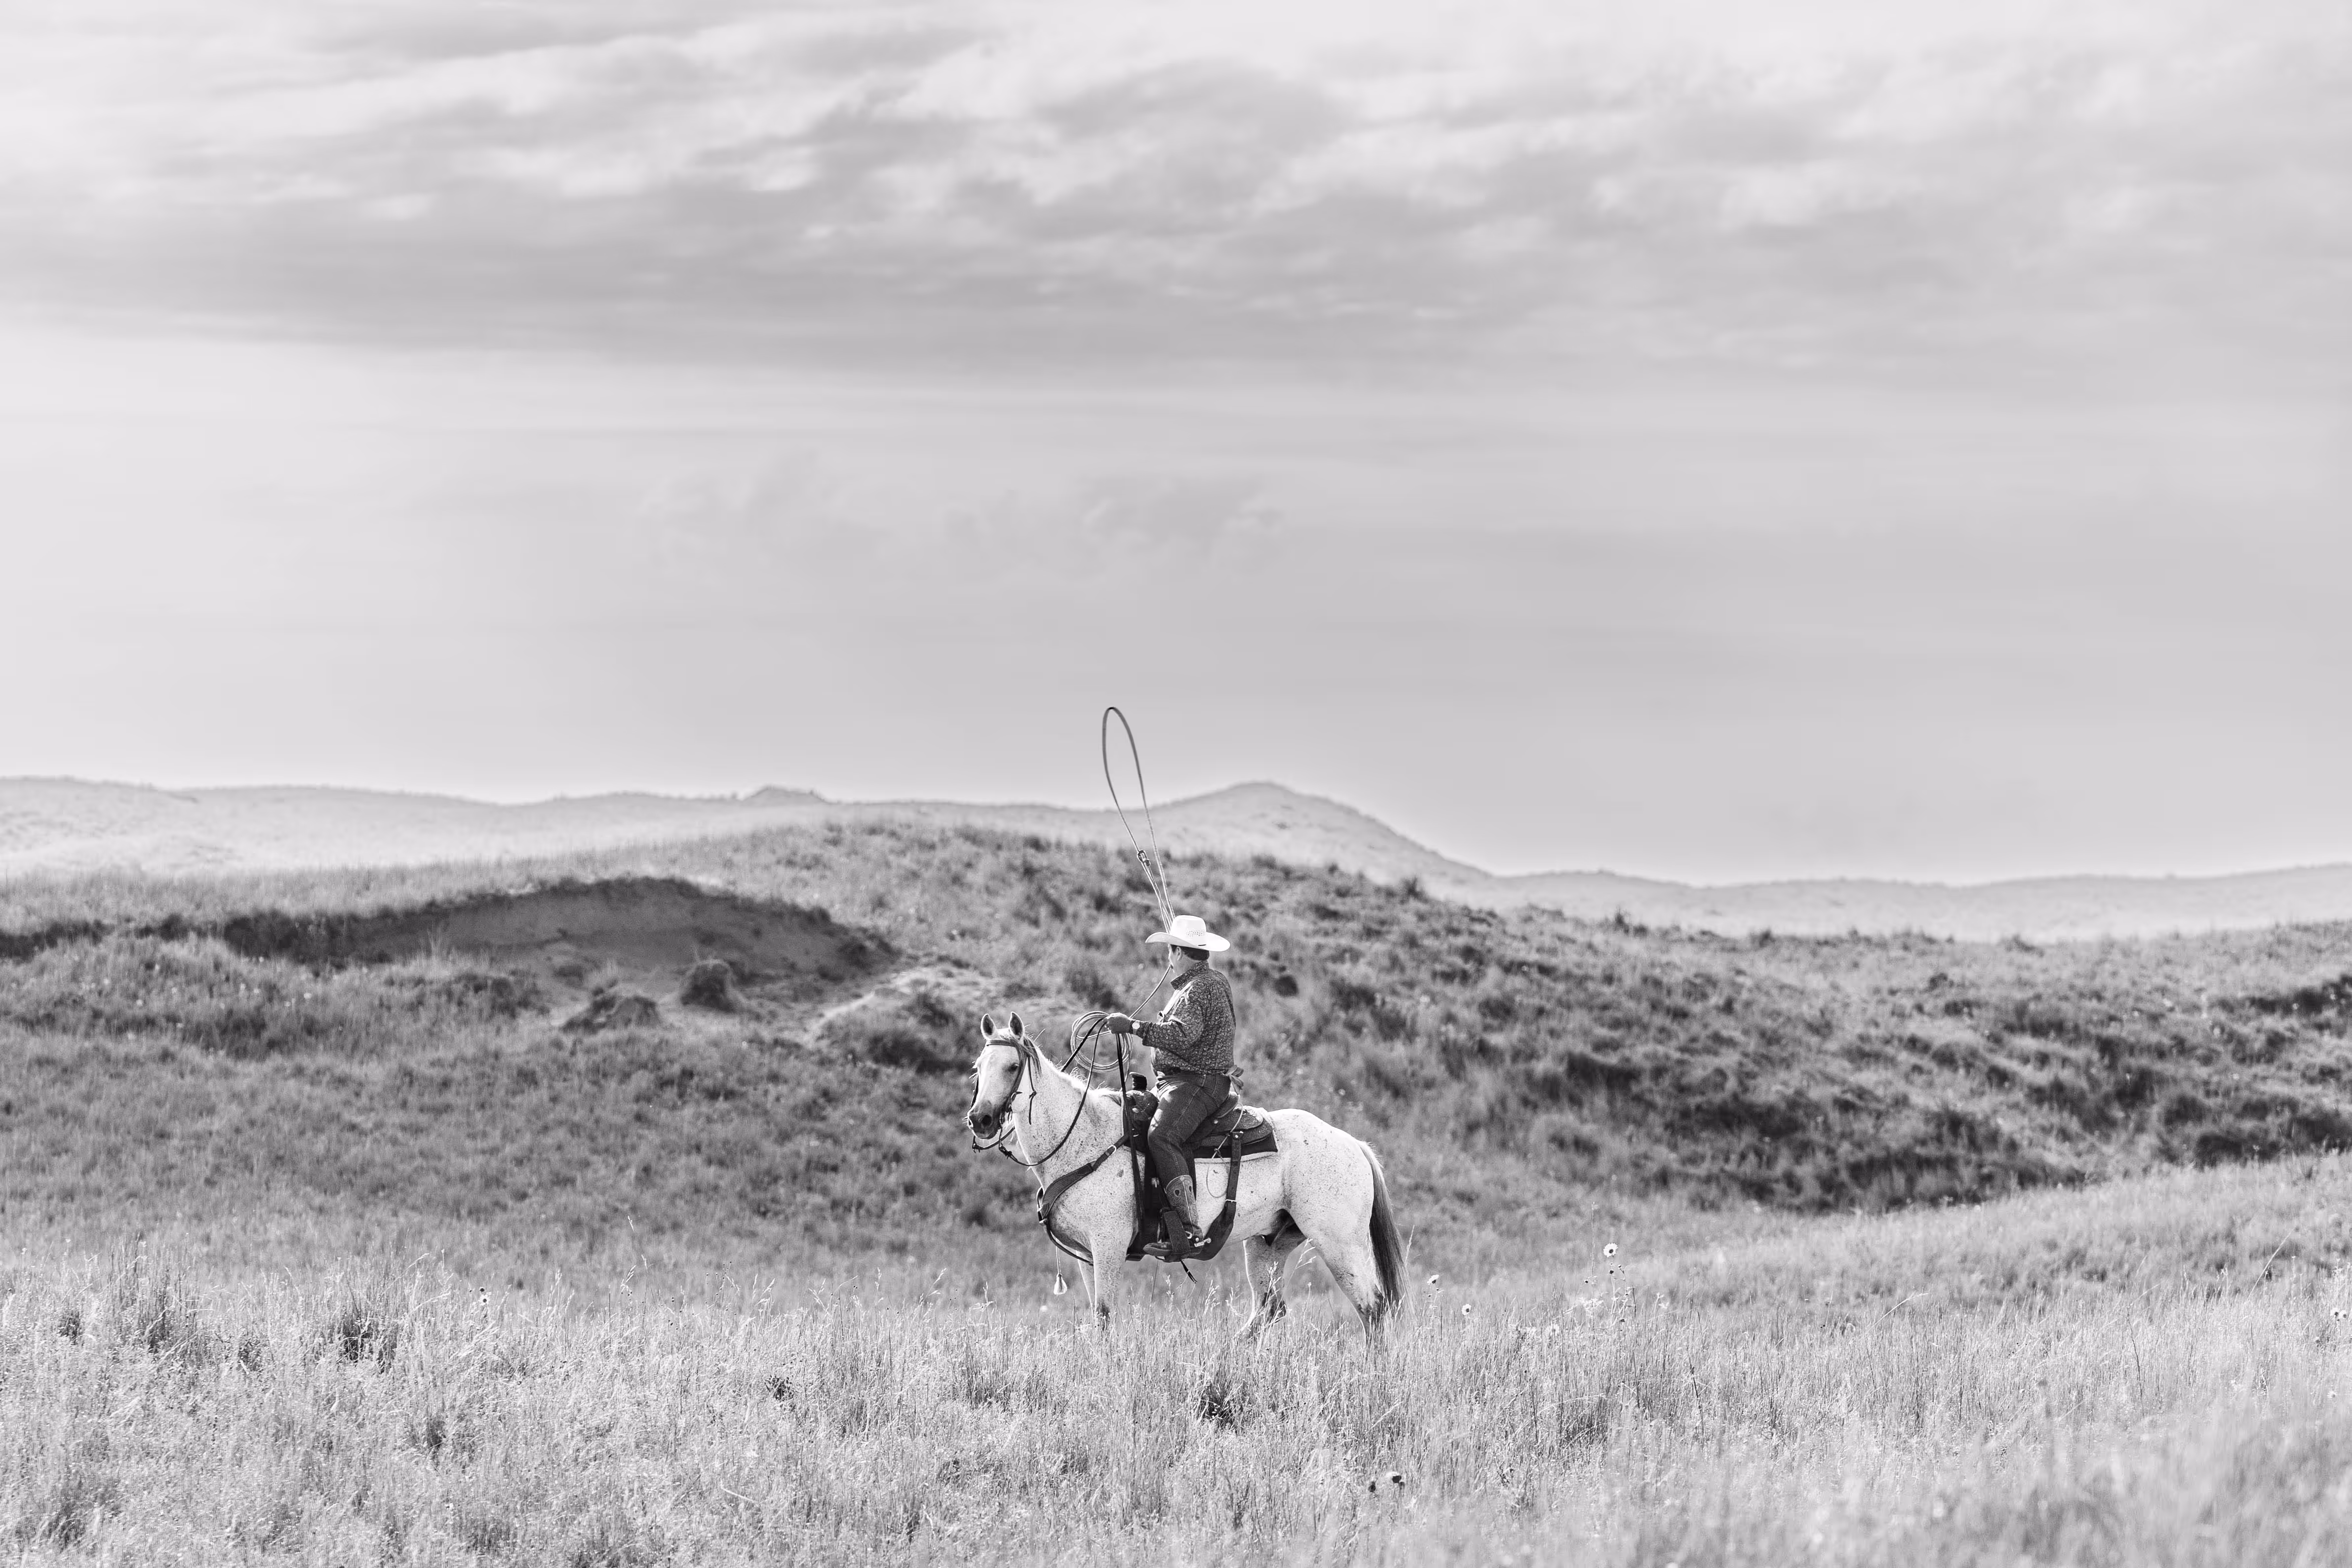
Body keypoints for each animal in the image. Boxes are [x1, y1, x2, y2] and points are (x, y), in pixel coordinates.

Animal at [963, 1011, 1405, 1331]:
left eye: (1012, 1066)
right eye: (979, 1067)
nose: (981, 1119)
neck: (1084, 1138)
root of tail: (1353, 1144)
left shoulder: (1108, 1247)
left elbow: (1104, 1316)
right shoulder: (1086, 1255)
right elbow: (1096, 1315)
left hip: (1339, 1243)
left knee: (1372, 1307)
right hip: (1267, 1243)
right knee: (1269, 1310)